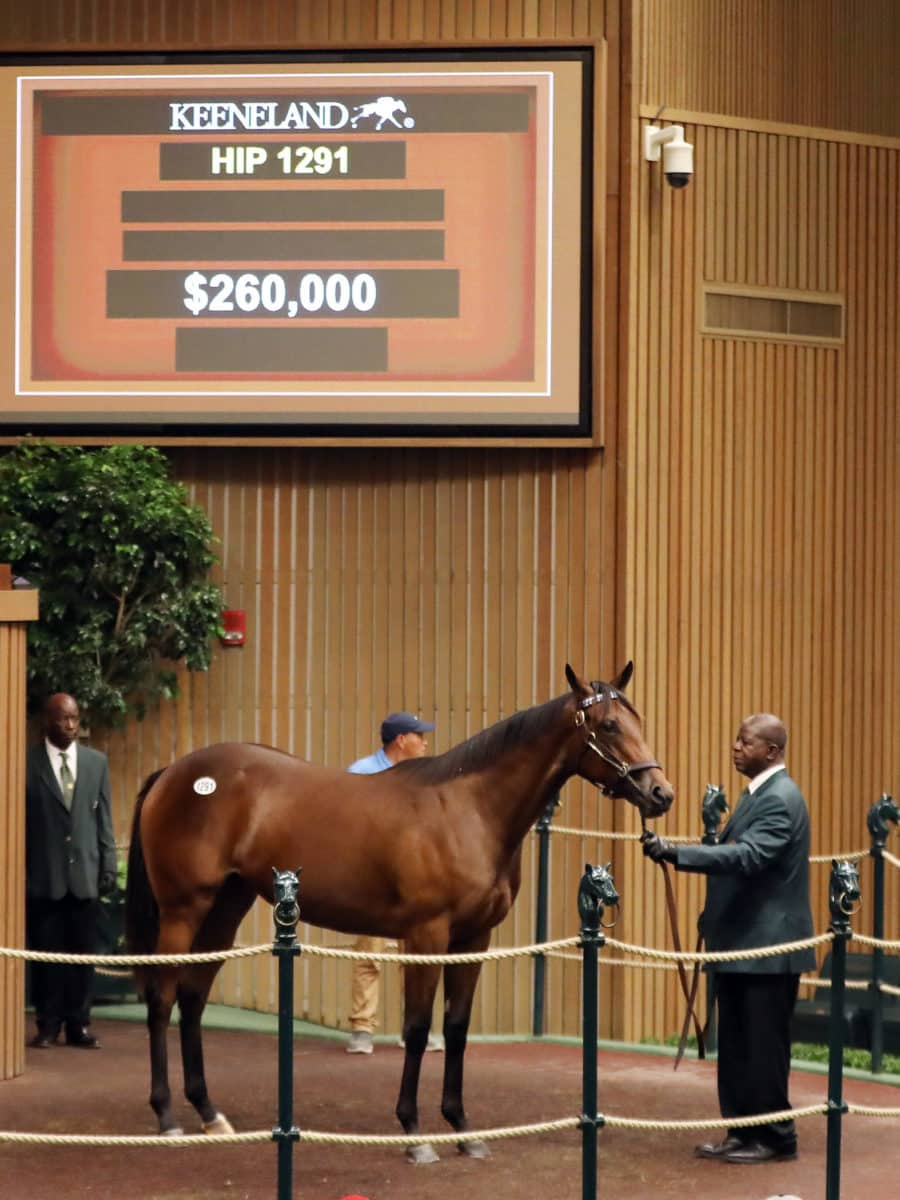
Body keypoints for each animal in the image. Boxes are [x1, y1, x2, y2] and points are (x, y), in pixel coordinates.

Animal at [128, 667, 676, 1161]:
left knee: (193, 999)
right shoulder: (425, 936)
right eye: (609, 726)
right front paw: (415, 1133)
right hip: (184, 909)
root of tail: (172, 773)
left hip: (225, 908)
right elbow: (416, 1029)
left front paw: (463, 1128)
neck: (470, 809)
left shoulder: (474, 939)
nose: (661, 793)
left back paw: (208, 1112)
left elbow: (456, 1028)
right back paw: (167, 1116)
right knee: (162, 998)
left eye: (639, 719)